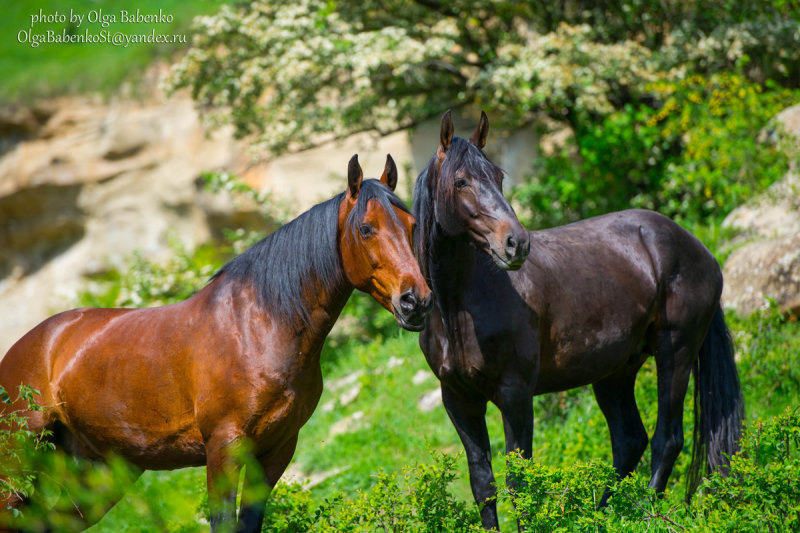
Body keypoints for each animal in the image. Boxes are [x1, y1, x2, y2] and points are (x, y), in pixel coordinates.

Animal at [0, 152, 432, 528]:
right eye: (366, 228)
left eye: (412, 225)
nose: (416, 301)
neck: (259, 326)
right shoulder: (223, 451)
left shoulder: (275, 453)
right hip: (18, 469)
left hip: (97, 473)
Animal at [416, 111, 748, 528]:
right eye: (460, 181)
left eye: (499, 176)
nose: (516, 244)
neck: (461, 310)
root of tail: (696, 247)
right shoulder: (459, 400)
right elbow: (483, 484)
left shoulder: (515, 394)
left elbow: (518, 483)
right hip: (614, 373)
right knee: (629, 440)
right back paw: (603, 516)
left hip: (677, 353)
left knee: (667, 438)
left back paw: (645, 514)